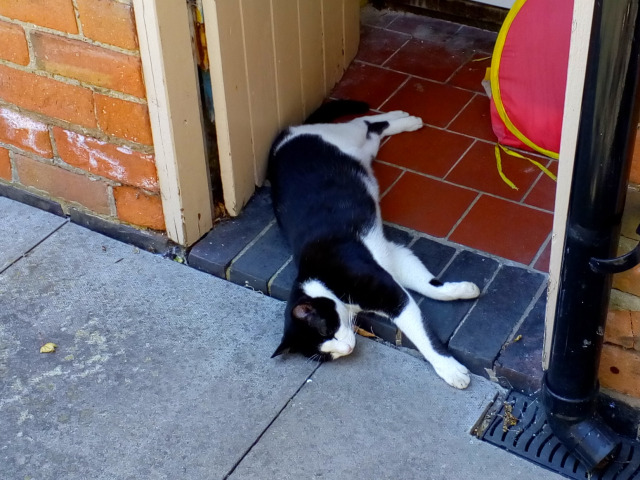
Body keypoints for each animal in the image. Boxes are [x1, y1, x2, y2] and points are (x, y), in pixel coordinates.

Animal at [268, 100, 480, 389]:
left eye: (327, 330)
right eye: (324, 355)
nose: (346, 350)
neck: (321, 281)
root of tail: (285, 135)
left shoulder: (386, 291)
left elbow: (421, 333)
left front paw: (449, 369)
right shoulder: (392, 260)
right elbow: (430, 284)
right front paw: (462, 290)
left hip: (346, 135)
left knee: (365, 122)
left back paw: (406, 118)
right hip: (364, 150)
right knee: (373, 132)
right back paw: (403, 118)